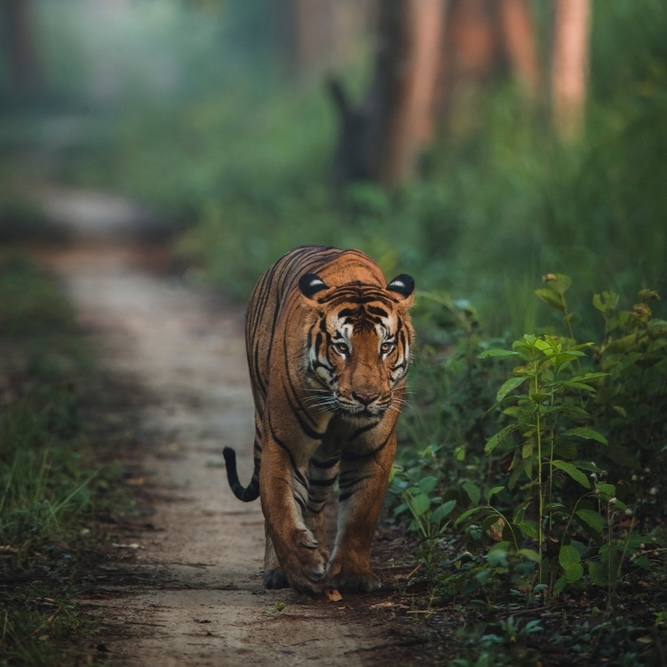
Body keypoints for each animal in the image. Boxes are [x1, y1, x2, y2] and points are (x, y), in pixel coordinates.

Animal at [223, 245, 414, 596]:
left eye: (385, 347)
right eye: (342, 347)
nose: (366, 397)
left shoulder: (372, 448)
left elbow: (360, 514)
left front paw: (351, 574)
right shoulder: (285, 445)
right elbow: (280, 510)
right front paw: (302, 568)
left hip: (325, 462)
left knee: (315, 503)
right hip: (263, 416)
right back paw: (279, 570)